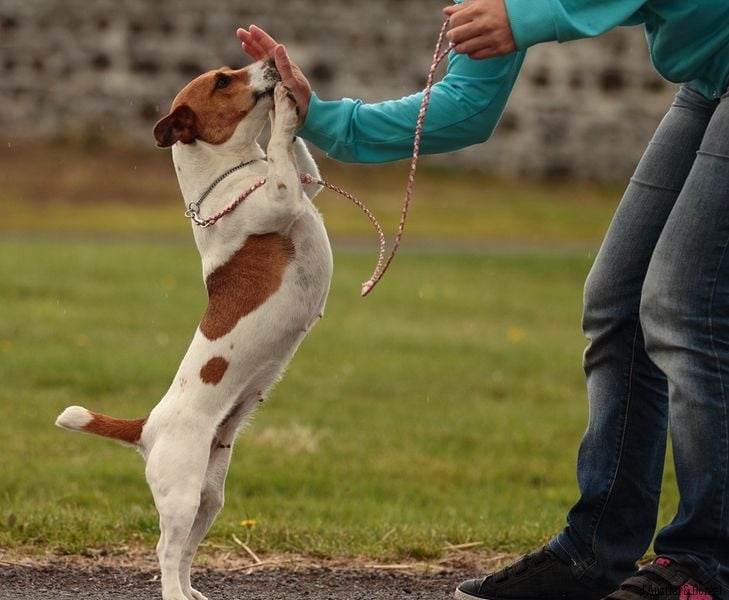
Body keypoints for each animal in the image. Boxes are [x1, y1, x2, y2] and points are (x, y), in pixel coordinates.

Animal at [55, 58, 333, 600]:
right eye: (223, 80)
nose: (270, 63)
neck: (234, 172)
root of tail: (147, 426)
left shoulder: (304, 184)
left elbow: (297, 156)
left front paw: (291, 95)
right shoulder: (282, 199)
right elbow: (280, 146)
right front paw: (284, 106)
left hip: (210, 497)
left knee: (184, 553)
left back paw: (190, 594)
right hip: (182, 494)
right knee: (165, 549)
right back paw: (171, 593)